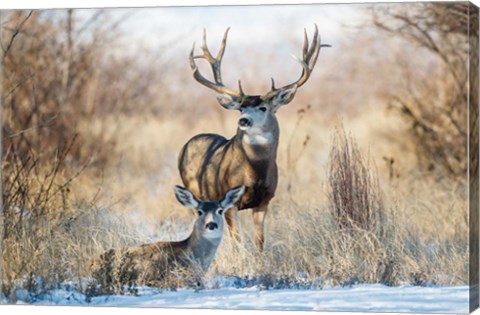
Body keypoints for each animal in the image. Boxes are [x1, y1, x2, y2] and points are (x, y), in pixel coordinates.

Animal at [180, 24, 330, 252]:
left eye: (263, 107)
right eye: (241, 108)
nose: (243, 120)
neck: (254, 172)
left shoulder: (264, 200)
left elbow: (260, 241)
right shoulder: (229, 201)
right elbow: (237, 241)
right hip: (193, 191)